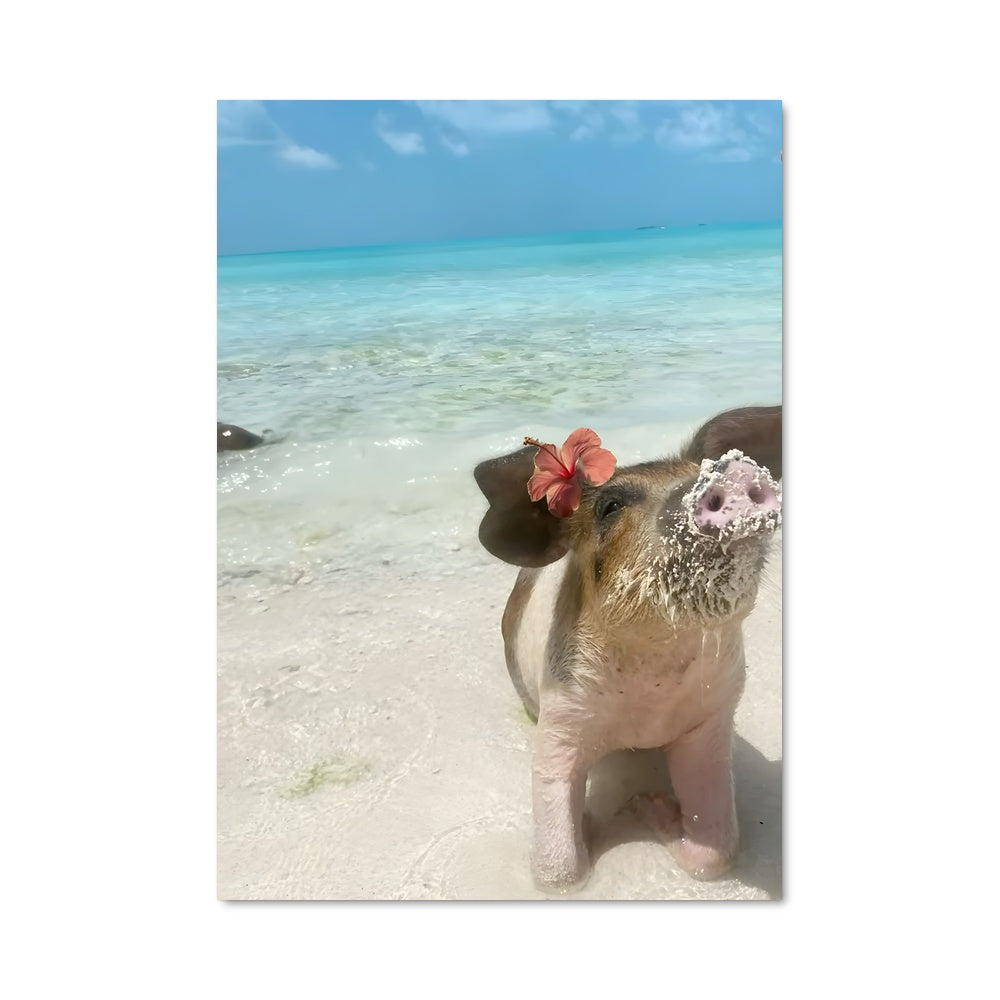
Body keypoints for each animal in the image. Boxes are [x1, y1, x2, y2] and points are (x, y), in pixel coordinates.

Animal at [473, 405, 782, 890]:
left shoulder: (712, 717)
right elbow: (557, 870)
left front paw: (646, 804)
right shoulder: (560, 716)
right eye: (610, 506)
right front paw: (595, 821)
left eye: (704, 469)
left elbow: (717, 853)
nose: (727, 475)